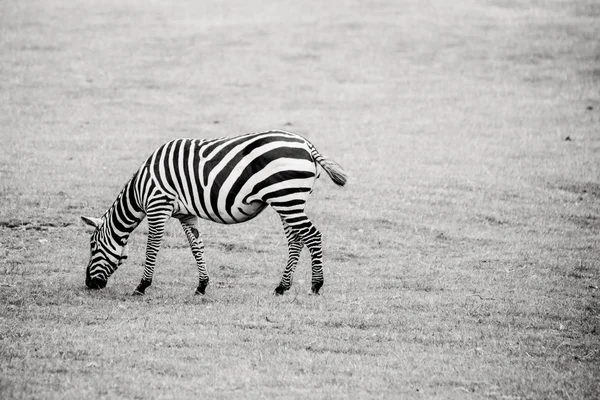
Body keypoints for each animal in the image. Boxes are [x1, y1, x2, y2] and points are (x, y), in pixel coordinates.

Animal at [82, 130, 350, 296]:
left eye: (93, 246)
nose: (88, 285)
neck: (141, 188)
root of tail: (307, 145)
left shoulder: (159, 206)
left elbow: (152, 248)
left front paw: (142, 285)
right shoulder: (186, 214)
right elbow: (196, 247)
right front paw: (202, 285)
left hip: (287, 199)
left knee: (312, 236)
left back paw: (316, 285)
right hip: (287, 200)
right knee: (296, 240)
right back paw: (282, 287)